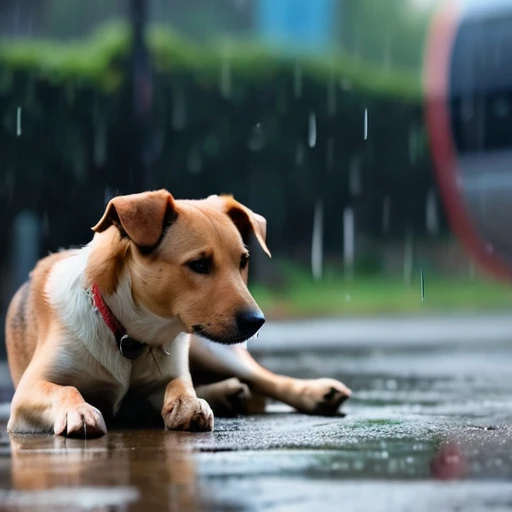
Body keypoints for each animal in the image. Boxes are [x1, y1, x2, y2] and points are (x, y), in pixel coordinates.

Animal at [6, 190, 352, 438]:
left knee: (263, 378)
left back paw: (314, 393)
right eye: (199, 264)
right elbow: (65, 388)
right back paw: (229, 393)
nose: (257, 321)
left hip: (209, 348)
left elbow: (180, 384)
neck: (128, 336)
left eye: (243, 261)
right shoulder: (26, 392)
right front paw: (78, 411)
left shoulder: (171, 370)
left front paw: (187, 404)